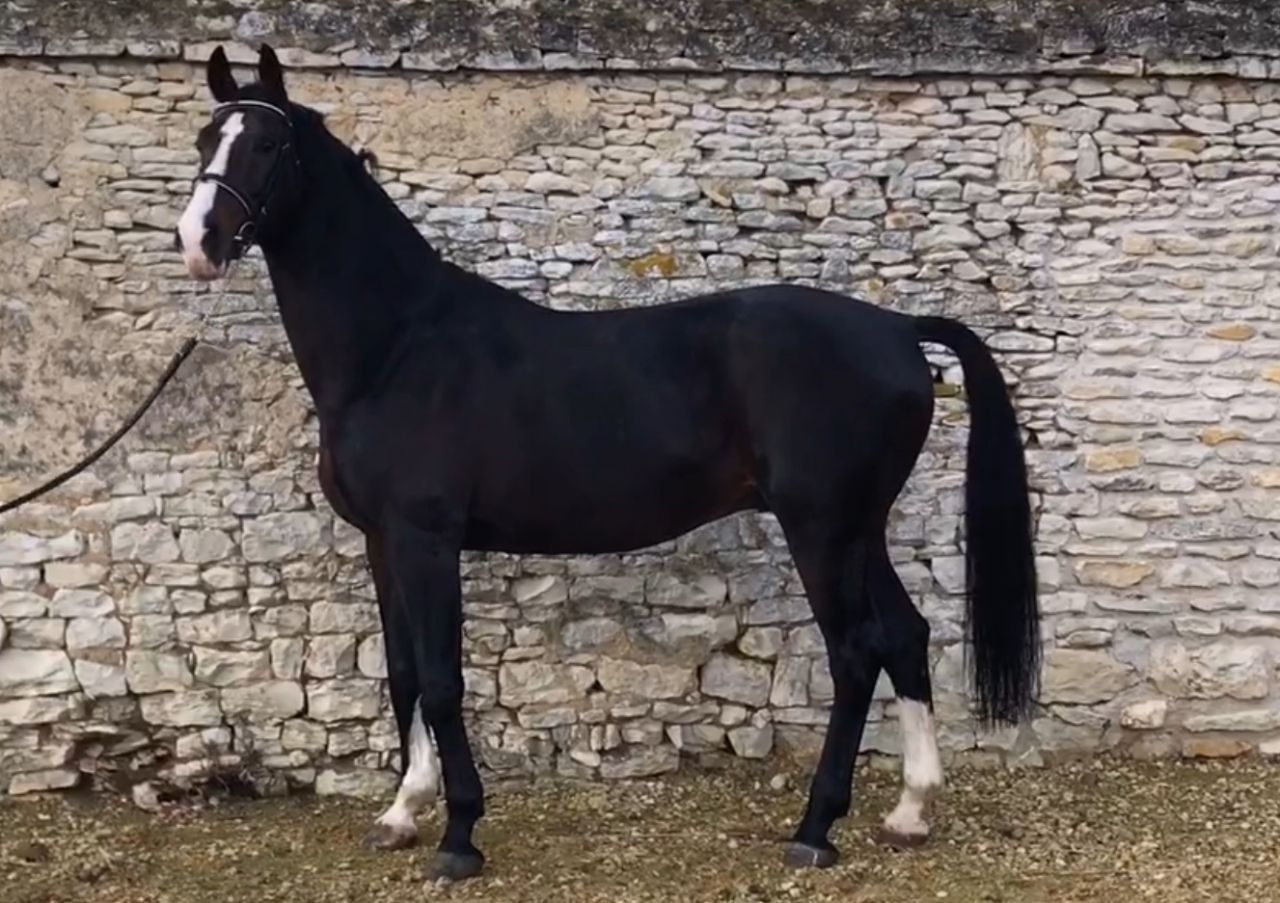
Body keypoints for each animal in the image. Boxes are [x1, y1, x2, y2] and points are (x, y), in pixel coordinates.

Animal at [174, 44, 1040, 881]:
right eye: (203, 139)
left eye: (268, 143)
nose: (198, 242)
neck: (397, 344)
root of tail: (896, 328)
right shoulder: (382, 541)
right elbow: (404, 671)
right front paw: (401, 811)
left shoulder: (427, 538)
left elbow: (444, 679)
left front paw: (459, 834)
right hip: (860, 528)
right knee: (904, 635)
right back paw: (910, 811)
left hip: (822, 529)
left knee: (857, 651)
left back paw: (816, 828)